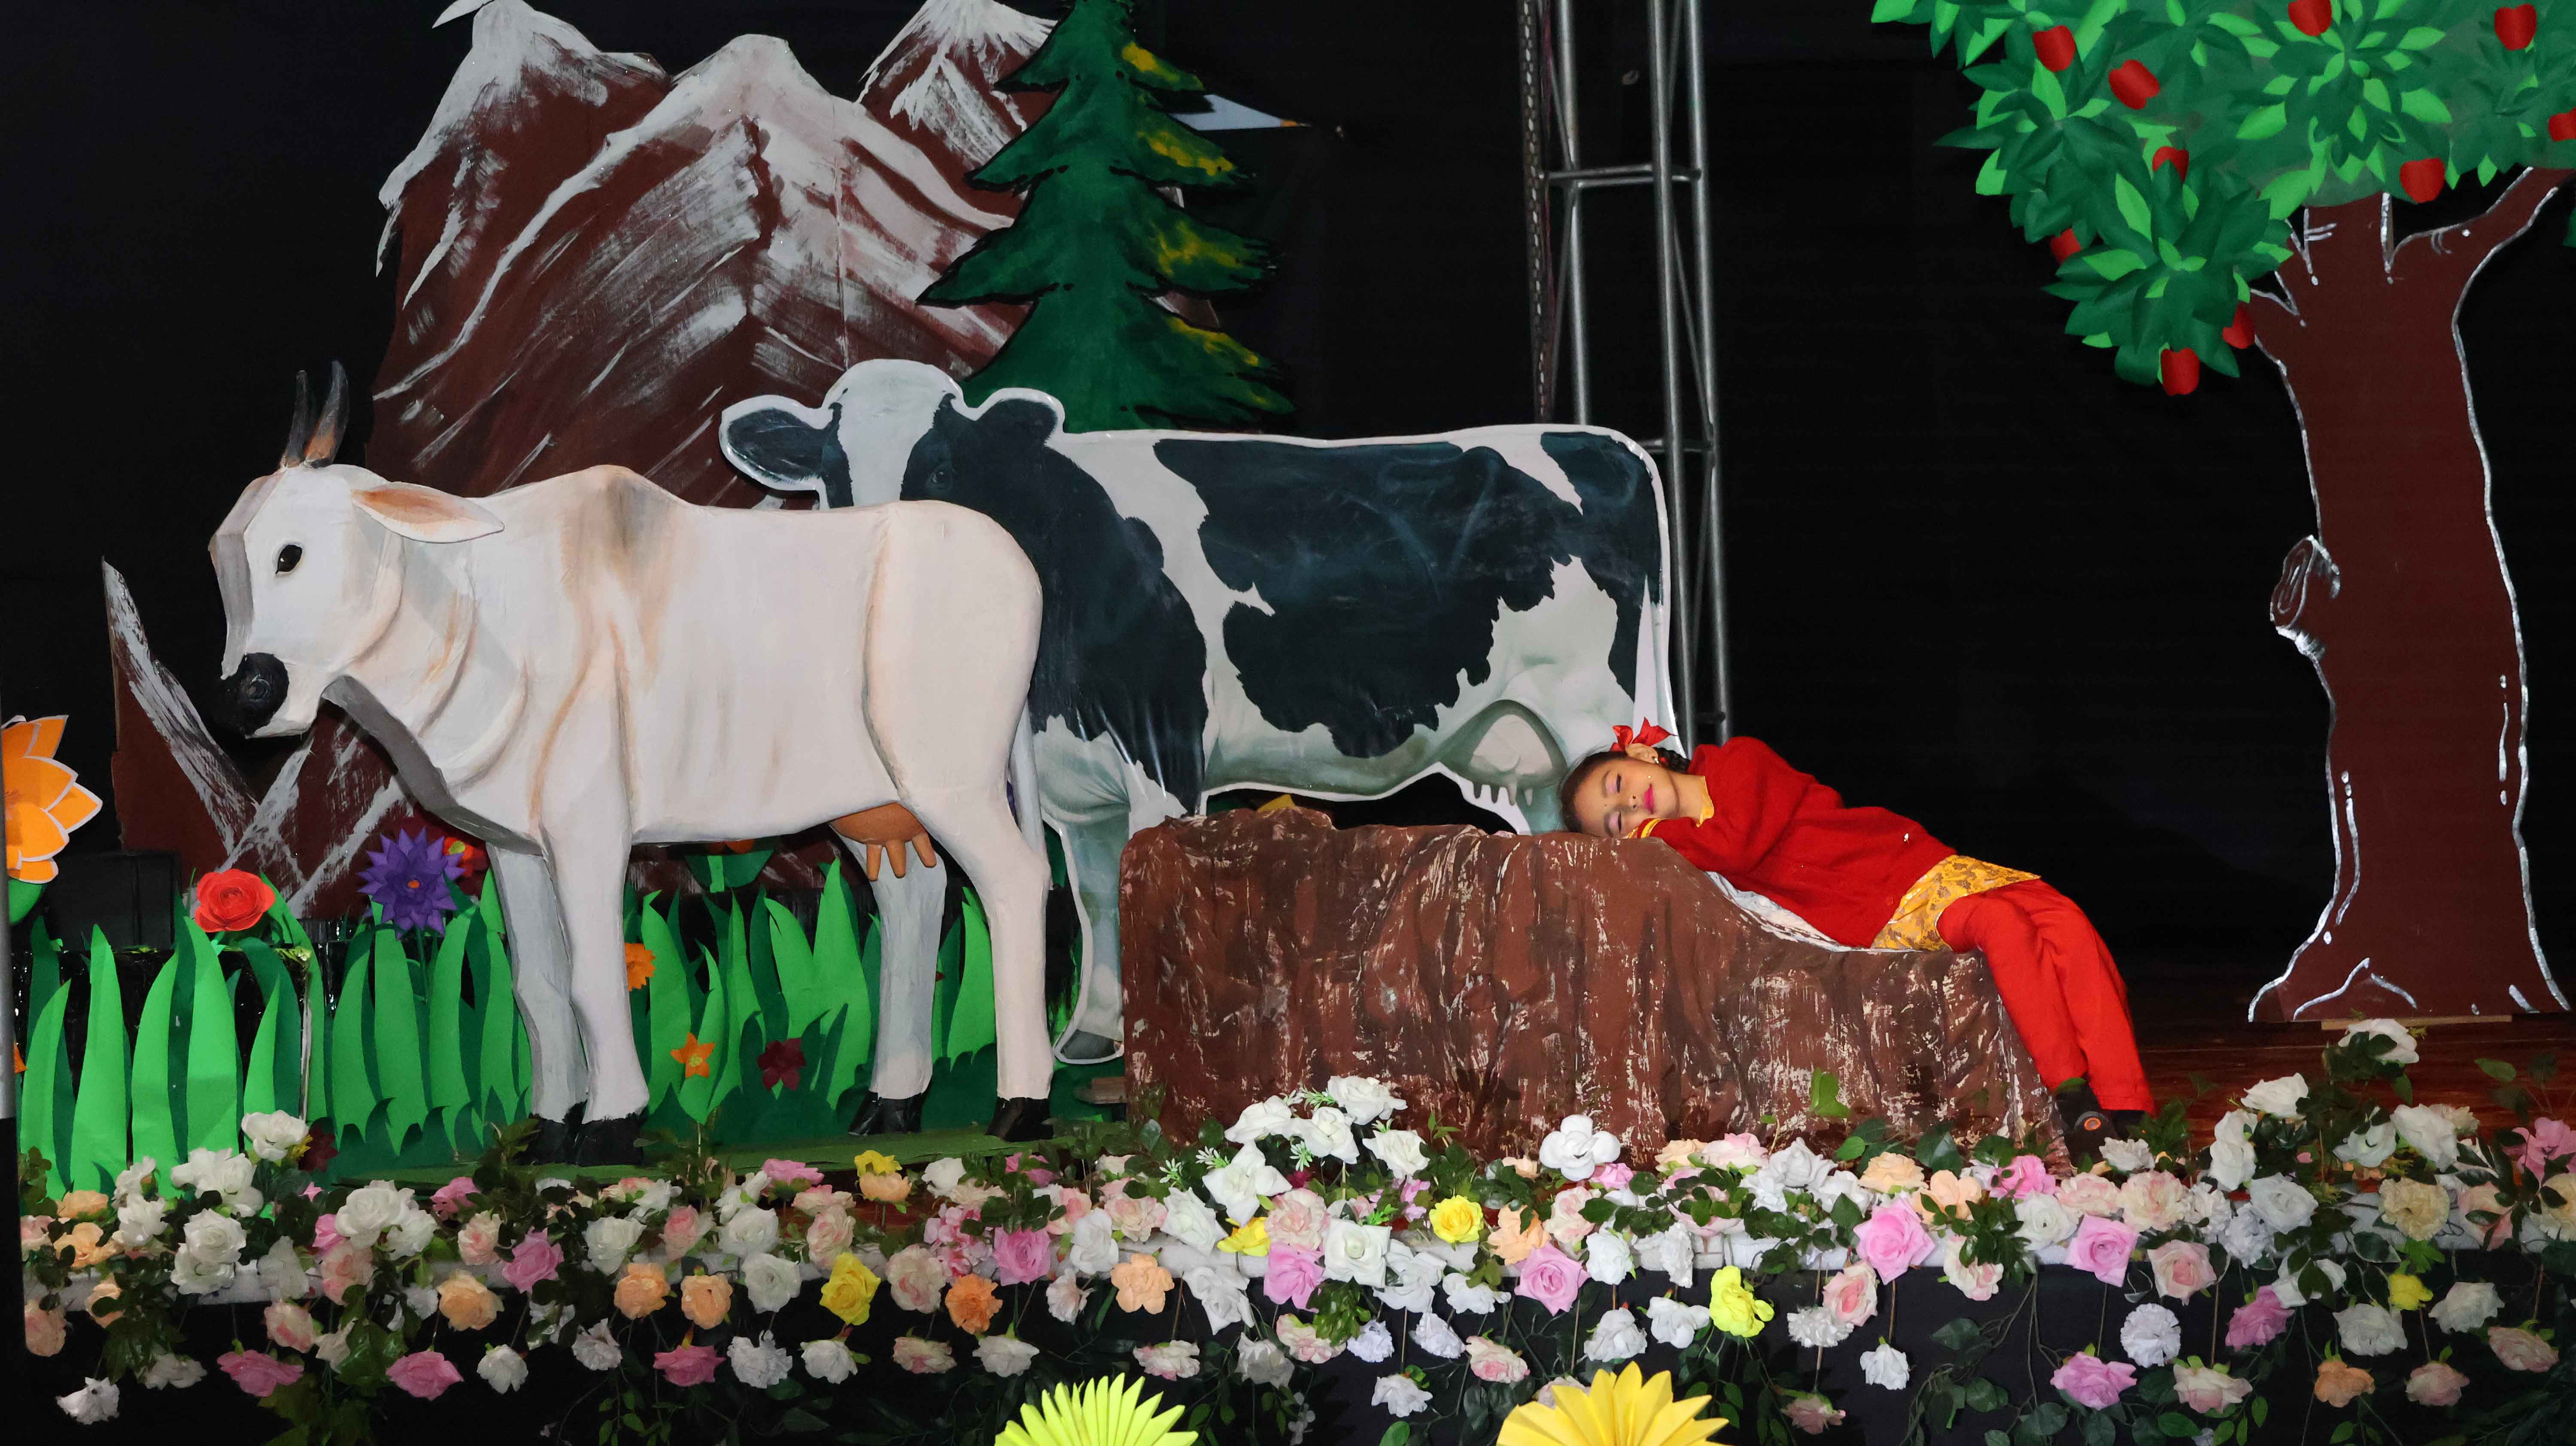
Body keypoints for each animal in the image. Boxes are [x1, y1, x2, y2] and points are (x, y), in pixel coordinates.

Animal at [213, 369, 1057, 1160]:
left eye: (291, 554)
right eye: (224, 565)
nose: (248, 695)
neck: (476, 613)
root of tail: (1018, 562)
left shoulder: (587, 832)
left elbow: (593, 976)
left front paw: (611, 1124)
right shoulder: (513, 847)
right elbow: (538, 987)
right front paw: (549, 1129)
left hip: (955, 785)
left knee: (1015, 885)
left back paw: (1021, 1106)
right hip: (874, 808)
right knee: (916, 900)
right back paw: (891, 1105)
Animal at [720, 359, 1674, 1084]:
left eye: (945, 472)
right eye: (831, 477)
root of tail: (1598, 441)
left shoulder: (1162, 740)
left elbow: (1154, 889)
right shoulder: (1078, 782)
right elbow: (1097, 894)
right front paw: (1094, 1033)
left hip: (1597, 712)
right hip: (1535, 749)